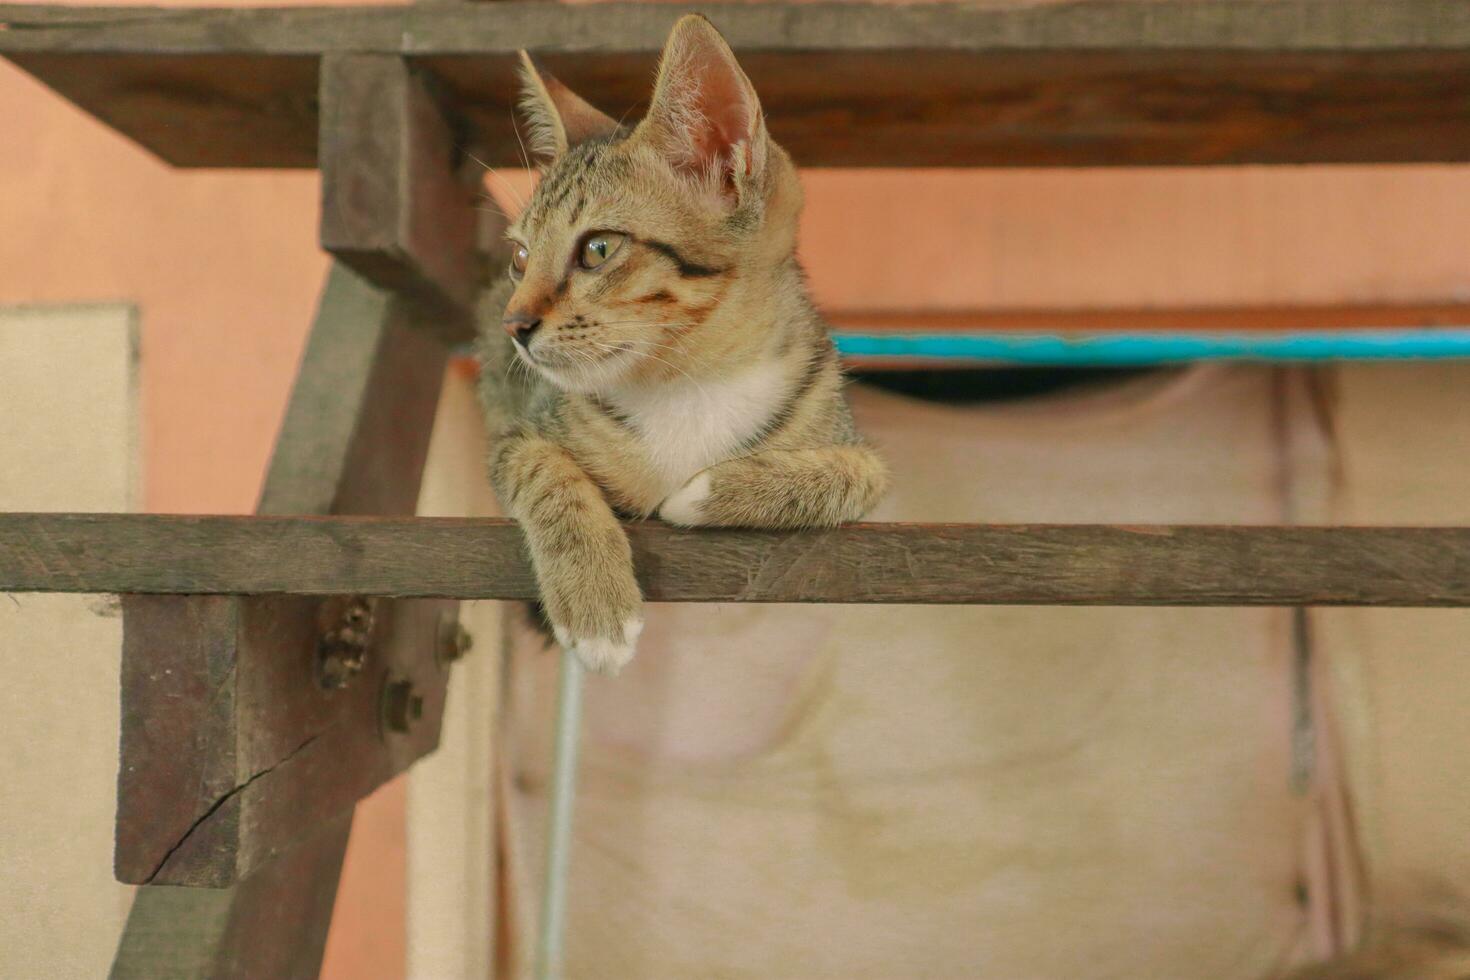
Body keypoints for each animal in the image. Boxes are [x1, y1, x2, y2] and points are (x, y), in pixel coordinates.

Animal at [476, 15, 882, 675]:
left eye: (598, 249)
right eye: (520, 257)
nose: (516, 324)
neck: (690, 383)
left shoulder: (851, 438)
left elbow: (857, 475)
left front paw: (706, 492)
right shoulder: (517, 434)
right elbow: (541, 467)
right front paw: (595, 603)